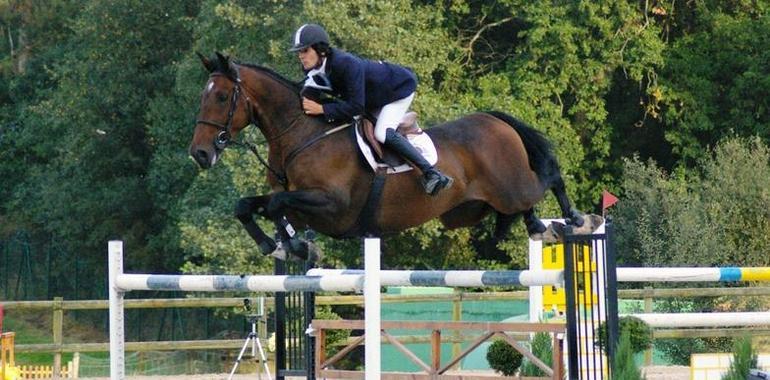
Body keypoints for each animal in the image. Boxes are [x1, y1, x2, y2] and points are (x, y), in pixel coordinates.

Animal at [188, 53, 584, 260]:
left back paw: (575, 218)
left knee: (549, 176)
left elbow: (275, 205)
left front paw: (297, 245)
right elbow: (249, 205)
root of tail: (494, 119)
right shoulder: (299, 201)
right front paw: (275, 244)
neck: (302, 134)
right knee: (521, 206)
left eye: (221, 97)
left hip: (510, 186)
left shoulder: (332, 205)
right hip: (472, 209)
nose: (200, 154)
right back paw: (535, 225)